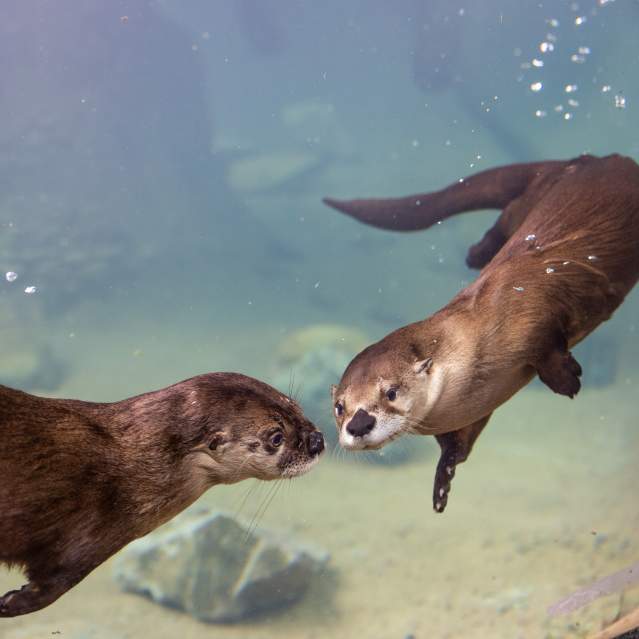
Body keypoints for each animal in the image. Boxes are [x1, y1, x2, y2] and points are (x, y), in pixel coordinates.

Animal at [0, 372, 324, 616]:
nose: (317, 441)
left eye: (295, 405)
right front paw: (11, 602)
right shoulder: (87, 536)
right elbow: (51, 582)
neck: (132, 468)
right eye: (276, 437)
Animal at [324, 155, 639, 516]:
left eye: (390, 392)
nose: (359, 425)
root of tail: (594, 160)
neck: (474, 337)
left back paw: (476, 253)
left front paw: (567, 379)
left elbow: (546, 342)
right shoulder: (474, 408)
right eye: (339, 407)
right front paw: (443, 481)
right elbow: (458, 445)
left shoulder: (532, 313)